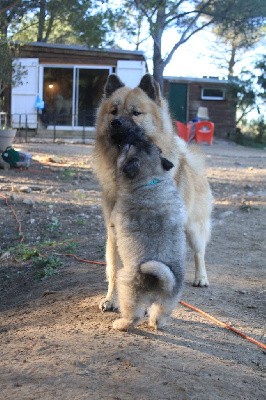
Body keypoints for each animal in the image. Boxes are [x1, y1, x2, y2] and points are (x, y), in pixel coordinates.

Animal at [93, 75, 212, 312]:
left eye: (135, 112)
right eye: (113, 111)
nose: (115, 123)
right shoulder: (115, 231)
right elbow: (114, 269)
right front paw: (111, 299)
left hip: (193, 227)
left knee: (199, 252)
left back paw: (200, 277)